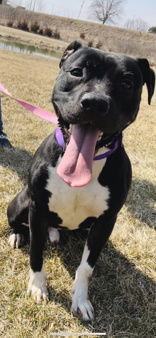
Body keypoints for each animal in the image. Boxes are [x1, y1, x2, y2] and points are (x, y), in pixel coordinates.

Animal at [7, 41, 155, 320]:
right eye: (77, 72)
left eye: (127, 83)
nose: (95, 103)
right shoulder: (37, 208)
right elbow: (36, 252)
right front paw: (37, 287)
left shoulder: (106, 222)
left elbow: (86, 267)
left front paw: (80, 300)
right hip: (20, 202)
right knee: (19, 224)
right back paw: (19, 235)